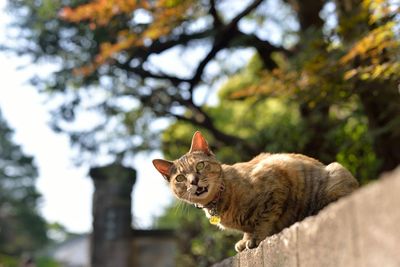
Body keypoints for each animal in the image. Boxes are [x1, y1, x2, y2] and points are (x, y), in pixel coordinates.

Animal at [152, 132, 358, 253]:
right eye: (180, 178)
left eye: (200, 165)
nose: (193, 181)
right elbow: (248, 228)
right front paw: (245, 240)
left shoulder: (276, 179)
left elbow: (263, 218)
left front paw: (255, 238)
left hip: (336, 172)